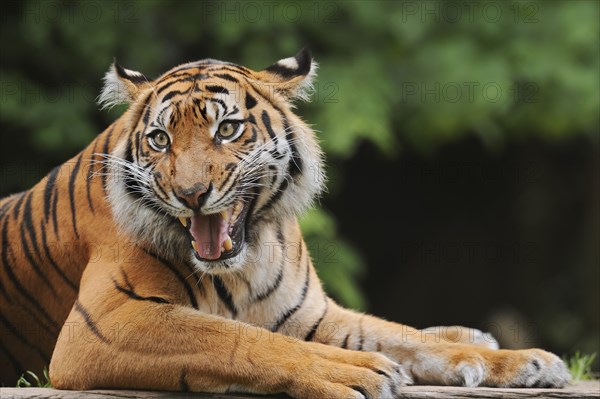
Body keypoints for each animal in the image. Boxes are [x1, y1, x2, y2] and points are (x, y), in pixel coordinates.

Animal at [1, 50, 572, 396]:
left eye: (227, 129)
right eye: (160, 140)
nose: (191, 194)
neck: (246, 261)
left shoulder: (309, 312)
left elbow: (400, 337)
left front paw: (532, 362)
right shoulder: (102, 324)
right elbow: (238, 339)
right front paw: (360, 372)